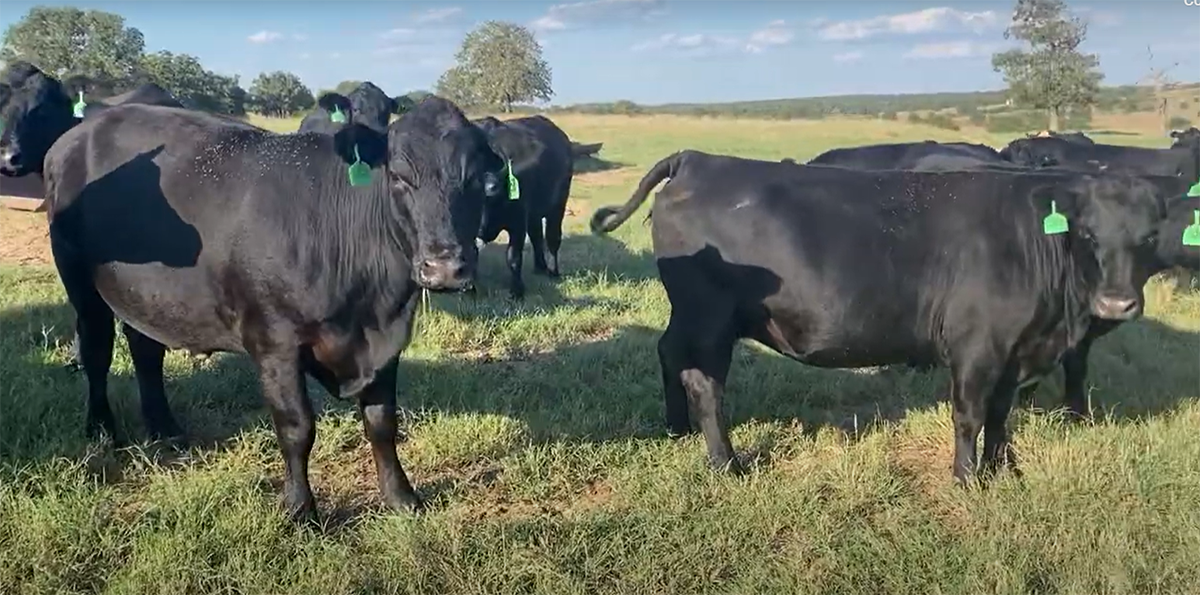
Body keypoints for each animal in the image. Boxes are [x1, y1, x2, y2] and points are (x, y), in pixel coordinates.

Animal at [7, 95, 545, 520]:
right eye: (400, 177)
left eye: (482, 181)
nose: (445, 267)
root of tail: (80, 132)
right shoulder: (273, 341)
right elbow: (297, 427)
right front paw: (300, 509)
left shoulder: (385, 342)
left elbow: (382, 423)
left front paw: (401, 498)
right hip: (79, 278)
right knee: (97, 349)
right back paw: (102, 430)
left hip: (146, 292)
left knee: (145, 350)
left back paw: (165, 428)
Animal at [471, 115, 570, 298]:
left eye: (492, 191)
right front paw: (471, 288)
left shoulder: (518, 223)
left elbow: (513, 257)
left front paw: (517, 291)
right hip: (534, 214)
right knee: (537, 235)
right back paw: (540, 267)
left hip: (558, 204)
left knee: (552, 237)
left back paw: (553, 271)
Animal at [589, 150, 1178, 484]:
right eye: (1088, 234)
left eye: (1151, 235)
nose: (1116, 304)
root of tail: (698, 158)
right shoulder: (976, 347)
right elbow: (969, 414)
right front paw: (967, 479)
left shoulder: (1014, 351)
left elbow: (1000, 415)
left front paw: (1003, 469)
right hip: (710, 319)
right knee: (705, 384)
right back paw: (726, 465)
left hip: (689, 317)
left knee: (669, 353)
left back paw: (676, 429)